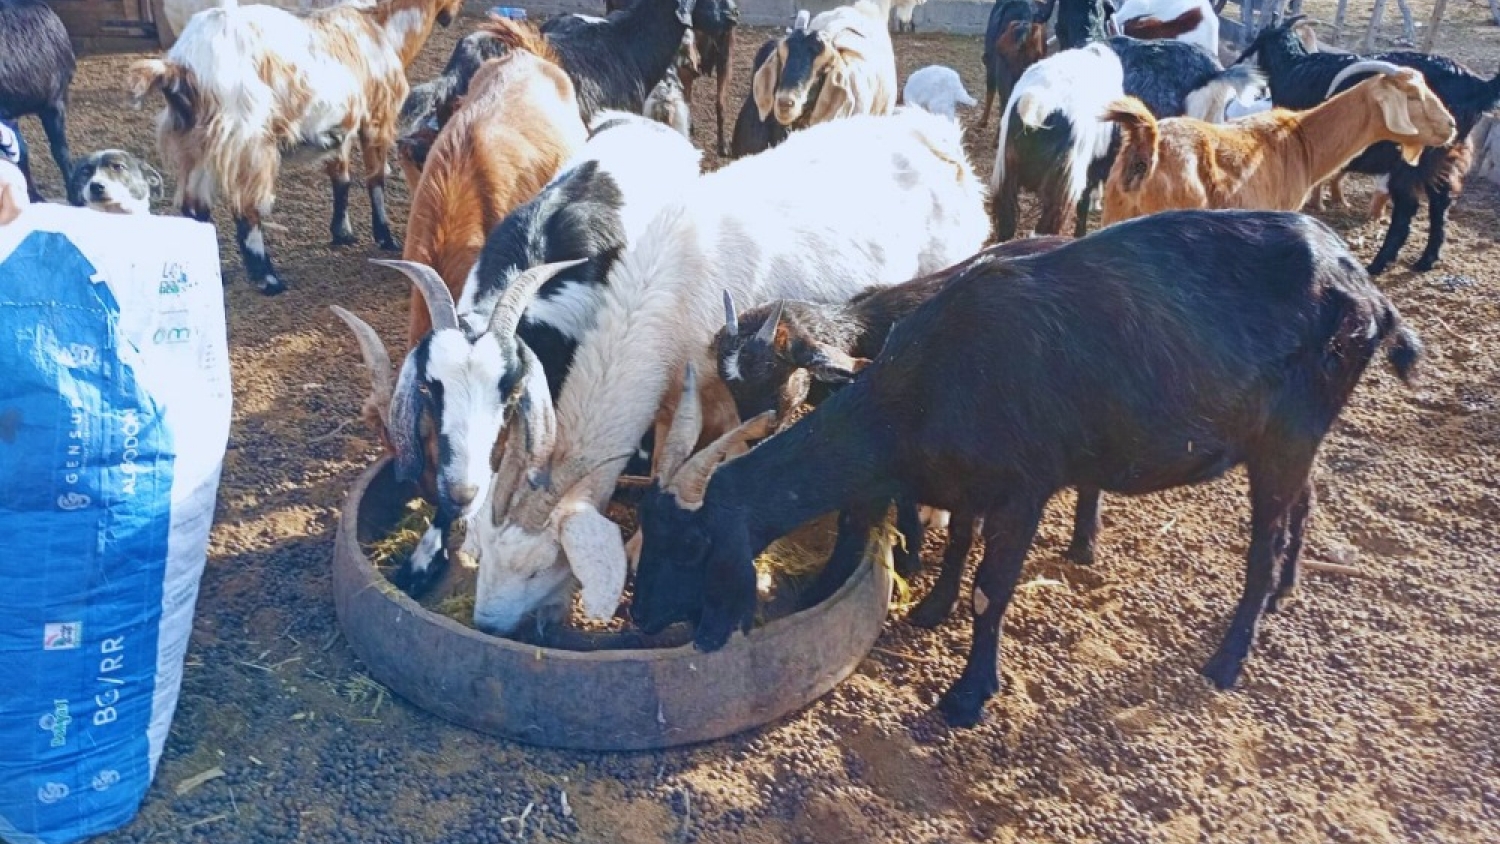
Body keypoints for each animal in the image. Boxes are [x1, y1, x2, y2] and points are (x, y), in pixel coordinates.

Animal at [128, 0, 463, 295]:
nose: (452, 14)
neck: (381, 27)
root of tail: (181, 64)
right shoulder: (377, 118)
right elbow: (375, 179)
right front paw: (385, 237)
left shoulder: (340, 125)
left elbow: (341, 178)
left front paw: (342, 233)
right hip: (247, 141)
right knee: (246, 210)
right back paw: (269, 280)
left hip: (195, 144)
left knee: (194, 208)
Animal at [462, 107, 990, 636]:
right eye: (486, 550)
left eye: (539, 566)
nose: (486, 624)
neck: (668, 288)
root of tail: (937, 136)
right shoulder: (672, 398)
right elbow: (665, 458)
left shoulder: (736, 397)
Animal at [631, 209, 1423, 728]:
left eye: (694, 545)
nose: (638, 618)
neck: (921, 383)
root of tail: (1366, 290)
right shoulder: (961, 478)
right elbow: (955, 540)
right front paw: (930, 607)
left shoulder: (1022, 489)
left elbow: (989, 587)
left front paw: (967, 696)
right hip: (1294, 435)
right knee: (1303, 499)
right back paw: (1286, 589)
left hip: (1288, 431)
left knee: (1262, 540)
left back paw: (1230, 657)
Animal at [1236, 15, 1500, 274]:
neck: (1292, 66)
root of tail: (1477, 86)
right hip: (1445, 157)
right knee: (1440, 202)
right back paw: (1426, 260)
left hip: (1414, 159)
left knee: (1407, 209)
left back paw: (1378, 264)